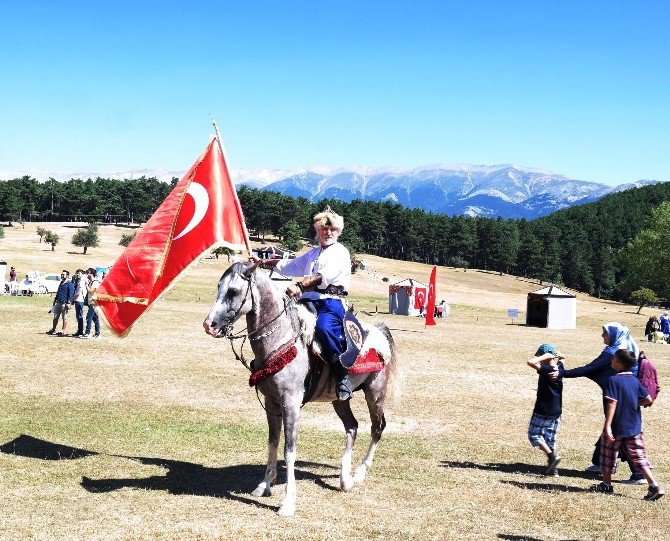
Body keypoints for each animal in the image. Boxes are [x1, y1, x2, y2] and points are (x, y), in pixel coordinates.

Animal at [203, 262, 400, 520]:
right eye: (219, 286)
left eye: (233, 291)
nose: (209, 325)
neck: (282, 339)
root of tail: (379, 331)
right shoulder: (272, 403)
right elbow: (273, 442)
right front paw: (264, 485)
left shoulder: (291, 404)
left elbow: (289, 450)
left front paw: (288, 503)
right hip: (339, 400)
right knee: (352, 427)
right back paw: (345, 479)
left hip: (375, 394)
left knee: (377, 428)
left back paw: (359, 473)